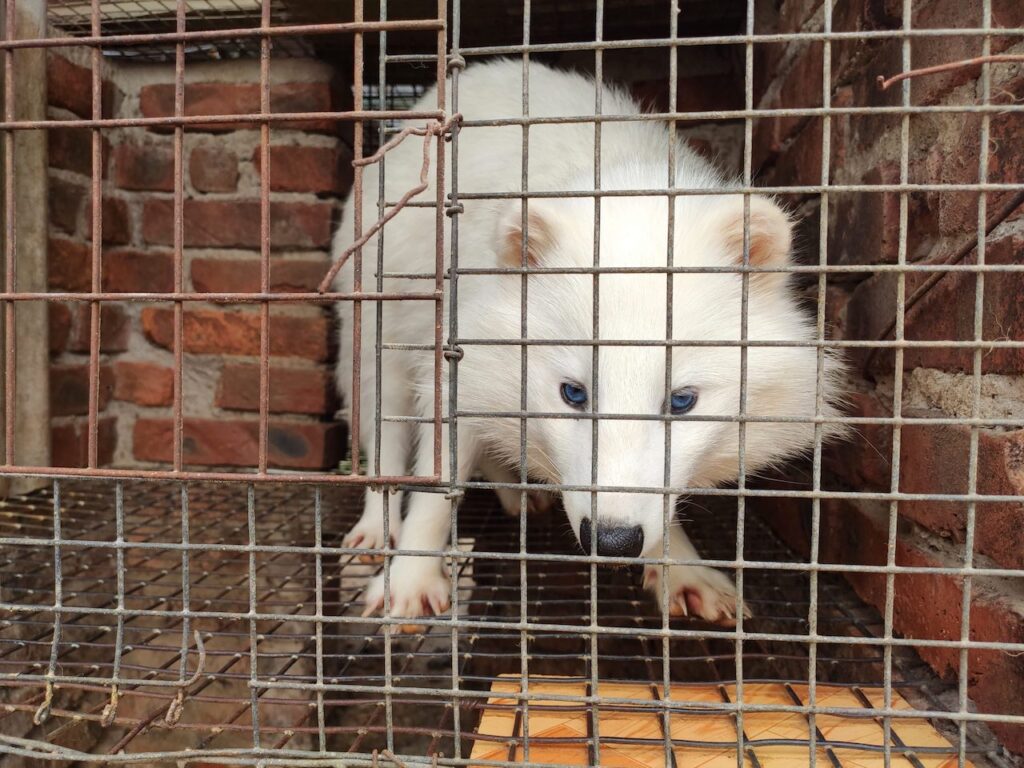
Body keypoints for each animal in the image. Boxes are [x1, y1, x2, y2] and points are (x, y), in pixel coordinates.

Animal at [331, 60, 845, 625]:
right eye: (573, 394)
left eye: (682, 401)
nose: (612, 541)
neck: (623, 183)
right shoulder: (460, 354)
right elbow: (436, 482)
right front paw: (410, 576)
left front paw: (680, 566)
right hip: (379, 337)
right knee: (384, 439)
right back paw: (377, 526)